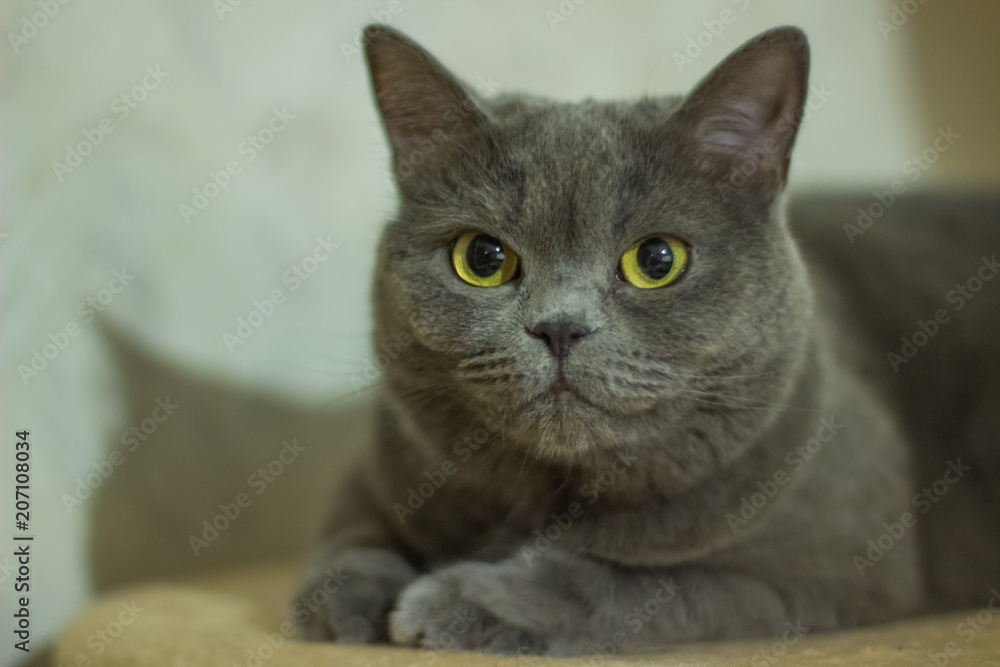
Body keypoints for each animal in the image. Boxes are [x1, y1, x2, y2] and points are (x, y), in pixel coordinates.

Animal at [294, 23, 1000, 656]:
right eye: (483, 258)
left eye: (657, 260)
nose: (560, 326)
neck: (549, 494)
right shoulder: (382, 466)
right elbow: (349, 530)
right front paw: (342, 601)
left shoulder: (825, 574)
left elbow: (628, 586)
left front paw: (462, 603)